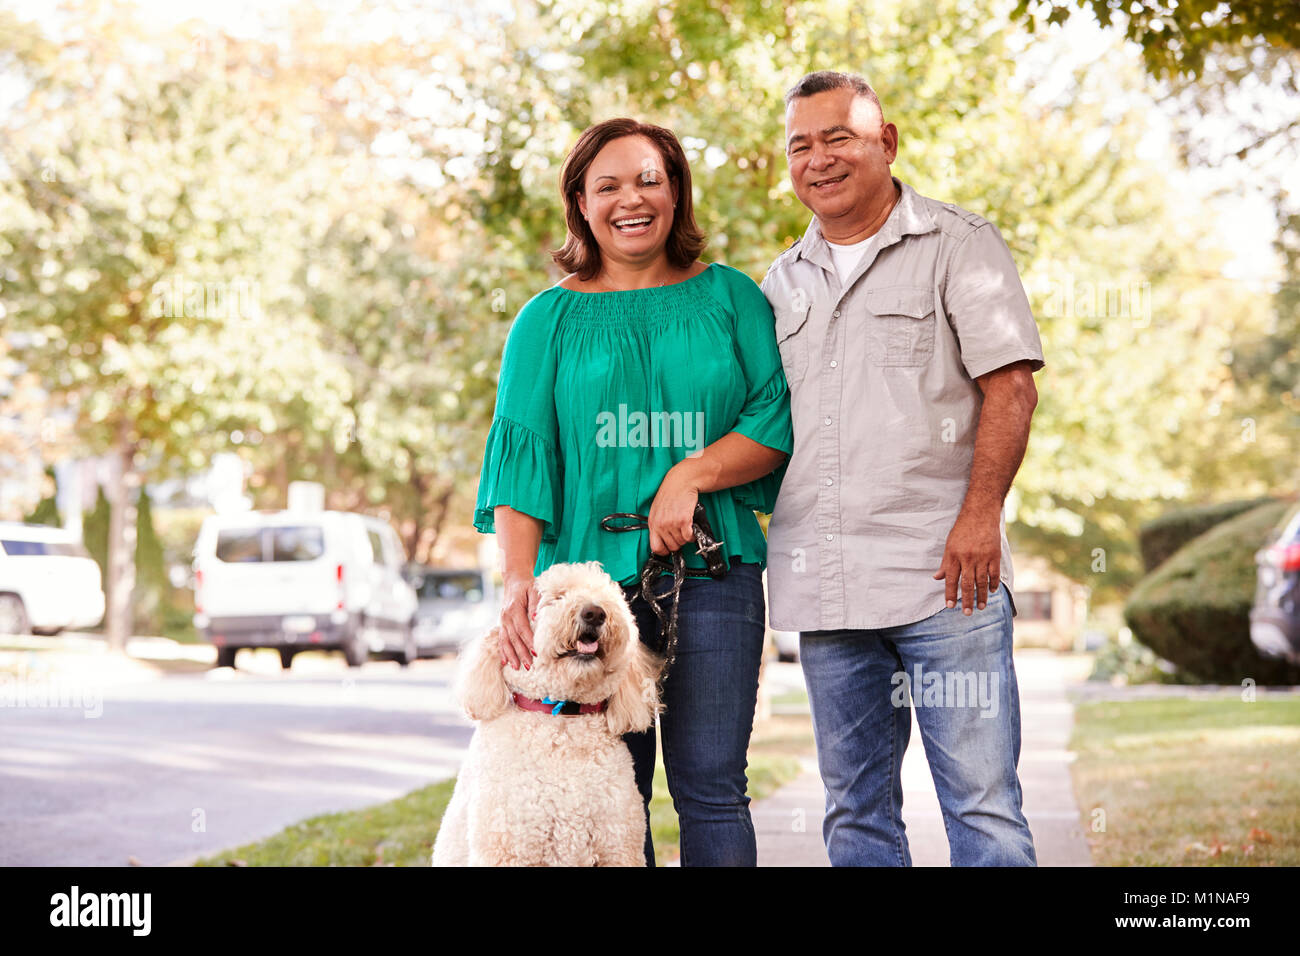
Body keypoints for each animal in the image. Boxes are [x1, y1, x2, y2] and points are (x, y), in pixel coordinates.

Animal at [431, 561, 660, 868]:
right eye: (556, 597)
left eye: (609, 597)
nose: (595, 612)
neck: (562, 718)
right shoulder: (507, 851)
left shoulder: (619, 848)